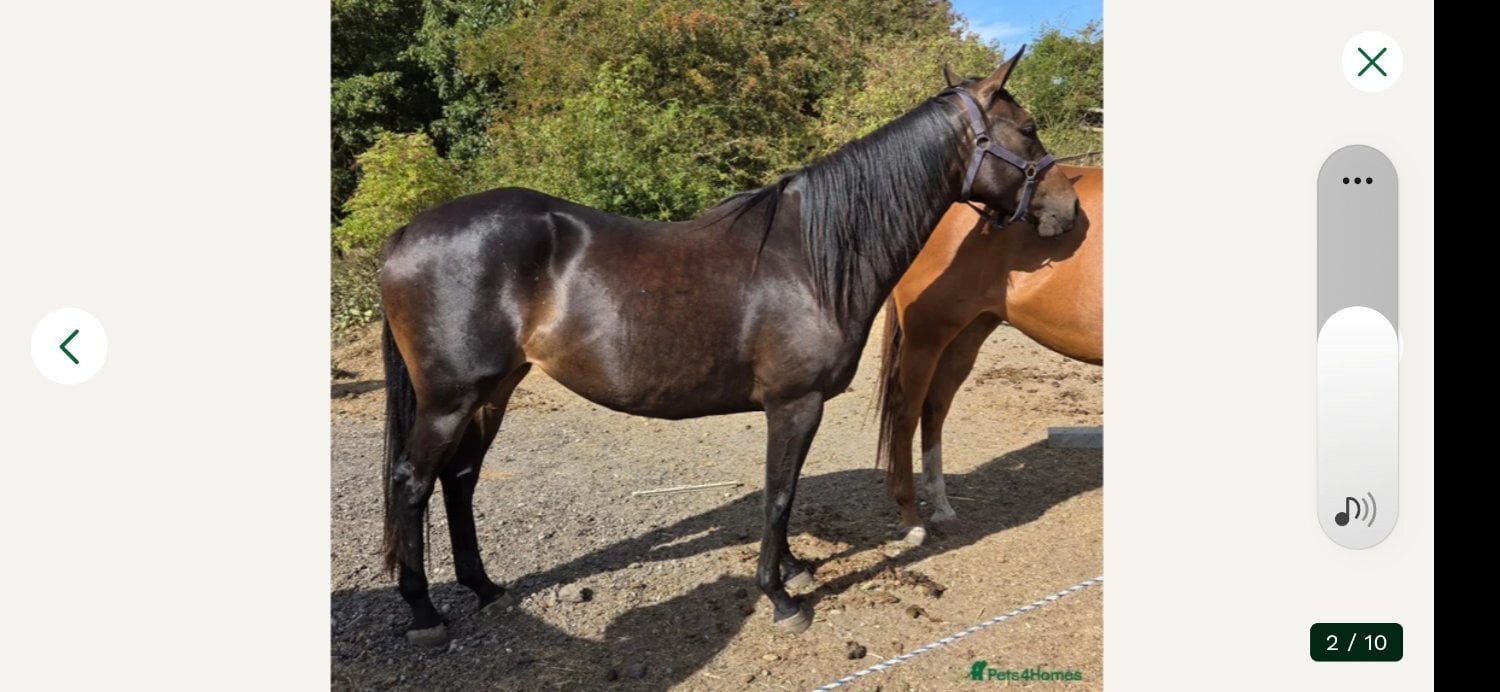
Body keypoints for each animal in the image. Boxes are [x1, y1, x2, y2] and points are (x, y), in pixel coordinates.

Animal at [875, 165, 1102, 546]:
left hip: (969, 333)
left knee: (934, 409)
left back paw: (942, 509)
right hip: (926, 336)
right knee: (906, 413)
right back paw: (911, 519)